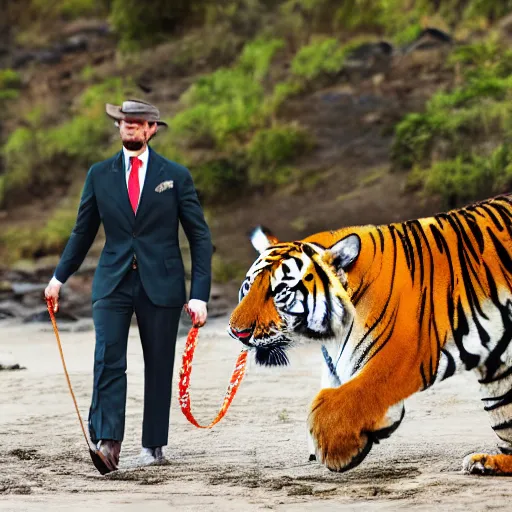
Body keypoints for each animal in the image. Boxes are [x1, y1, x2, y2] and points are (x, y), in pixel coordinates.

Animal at [230, 194, 512, 474]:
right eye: (248, 286)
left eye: (280, 292)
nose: (236, 332)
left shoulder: (400, 356)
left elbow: (334, 405)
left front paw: (335, 450)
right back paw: (487, 463)